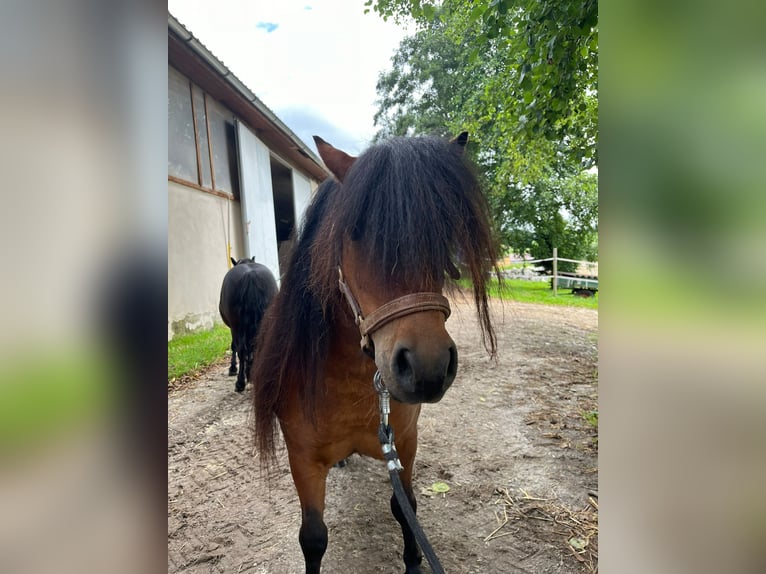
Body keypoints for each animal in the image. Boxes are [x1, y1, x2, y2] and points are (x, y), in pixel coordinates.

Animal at [219, 258, 280, 394]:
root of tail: (251, 275)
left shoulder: (233, 328)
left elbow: (235, 347)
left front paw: (233, 368)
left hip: (237, 326)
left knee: (241, 350)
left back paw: (240, 382)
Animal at [252, 134, 498, 574]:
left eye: (440, 235)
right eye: (354, 232)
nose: (427, 368)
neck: (350, 386)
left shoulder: (404, 442)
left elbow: (406, 508)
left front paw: (414, 562)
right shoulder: (303, 459)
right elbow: (313, 536)